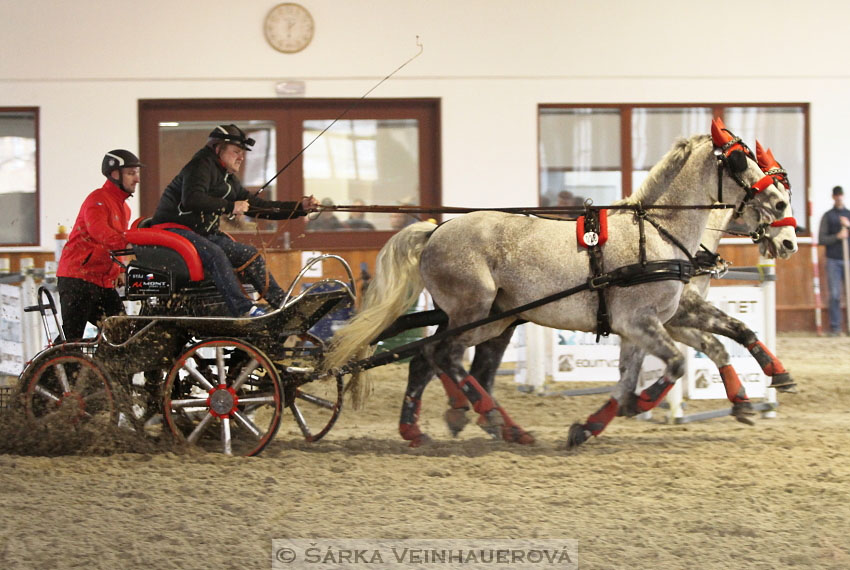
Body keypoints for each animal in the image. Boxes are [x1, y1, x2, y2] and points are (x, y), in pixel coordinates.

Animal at [326, 121, 788, 448]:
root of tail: (436, 229)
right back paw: (494, 420)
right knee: (445, 355)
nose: (783, 218)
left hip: (489, 318)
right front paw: (640, 404)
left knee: (430, 357)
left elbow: (650, 368)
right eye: (738, 160)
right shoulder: (642, 321)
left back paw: (431, 426)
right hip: (474, 311)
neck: (659, 234)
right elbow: (676, 363)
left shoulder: (646, 325)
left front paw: (591, 425)